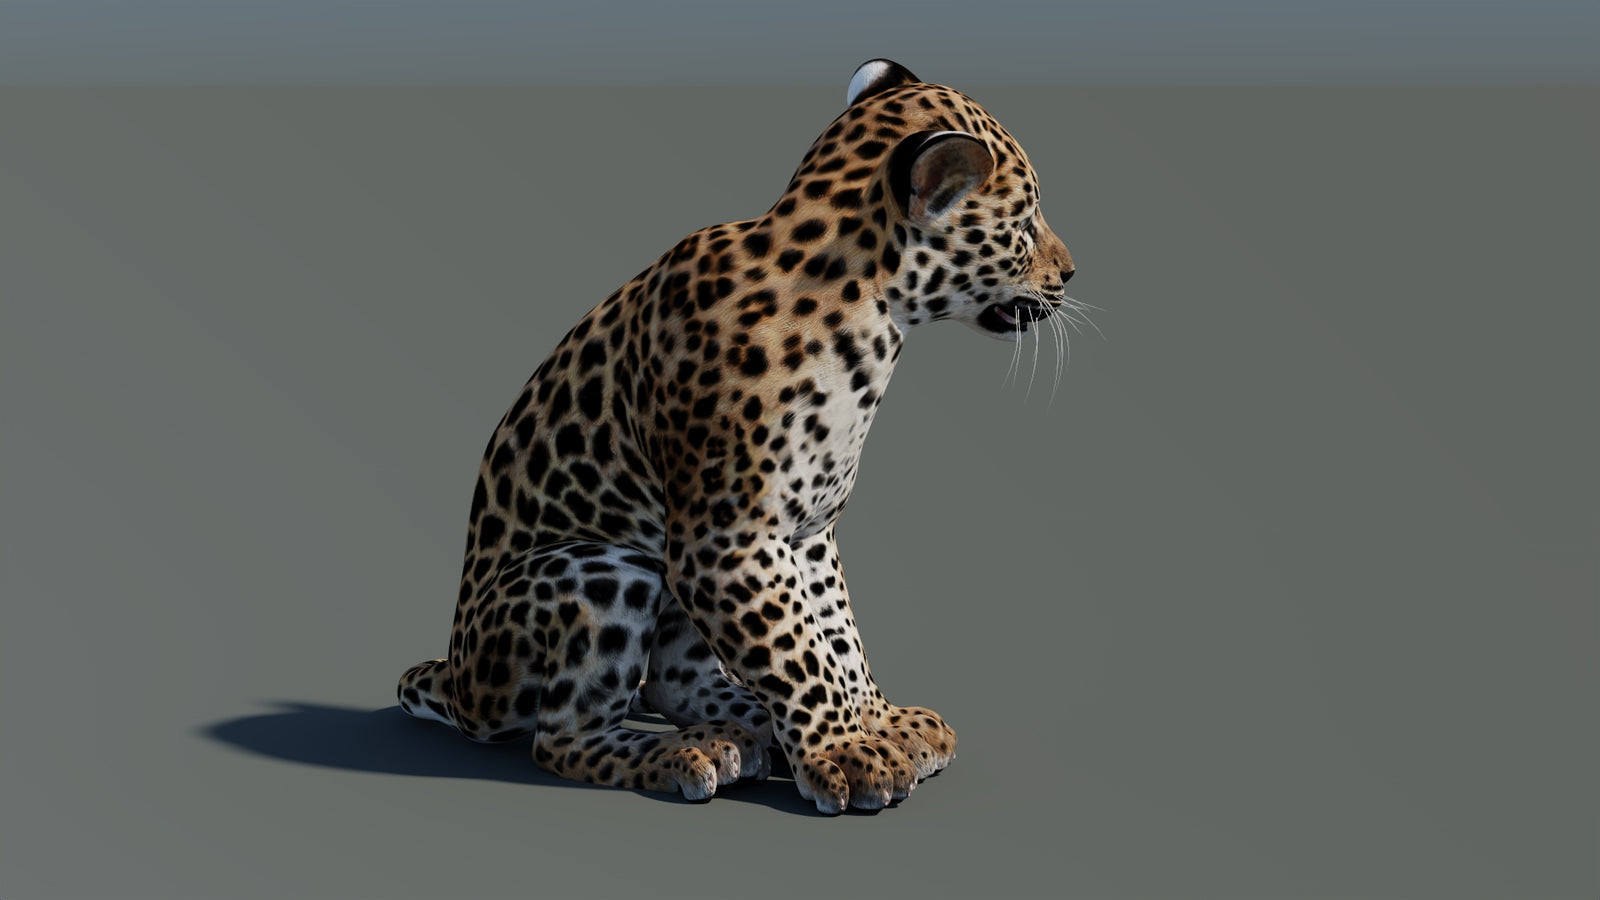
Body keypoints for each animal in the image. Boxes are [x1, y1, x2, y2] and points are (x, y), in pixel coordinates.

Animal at [398, 59, 1076, 814]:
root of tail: (458, 680)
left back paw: (744, 725)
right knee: (563, 736)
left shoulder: (807, 533)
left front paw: (879, 725)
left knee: (671, 679)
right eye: (1026, 223)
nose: (1071, 271)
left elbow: (835, 635)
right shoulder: (724, 542)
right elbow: (795, 650)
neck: (871, 311)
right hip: (606, 566)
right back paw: (690, 751)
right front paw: (846, 752)